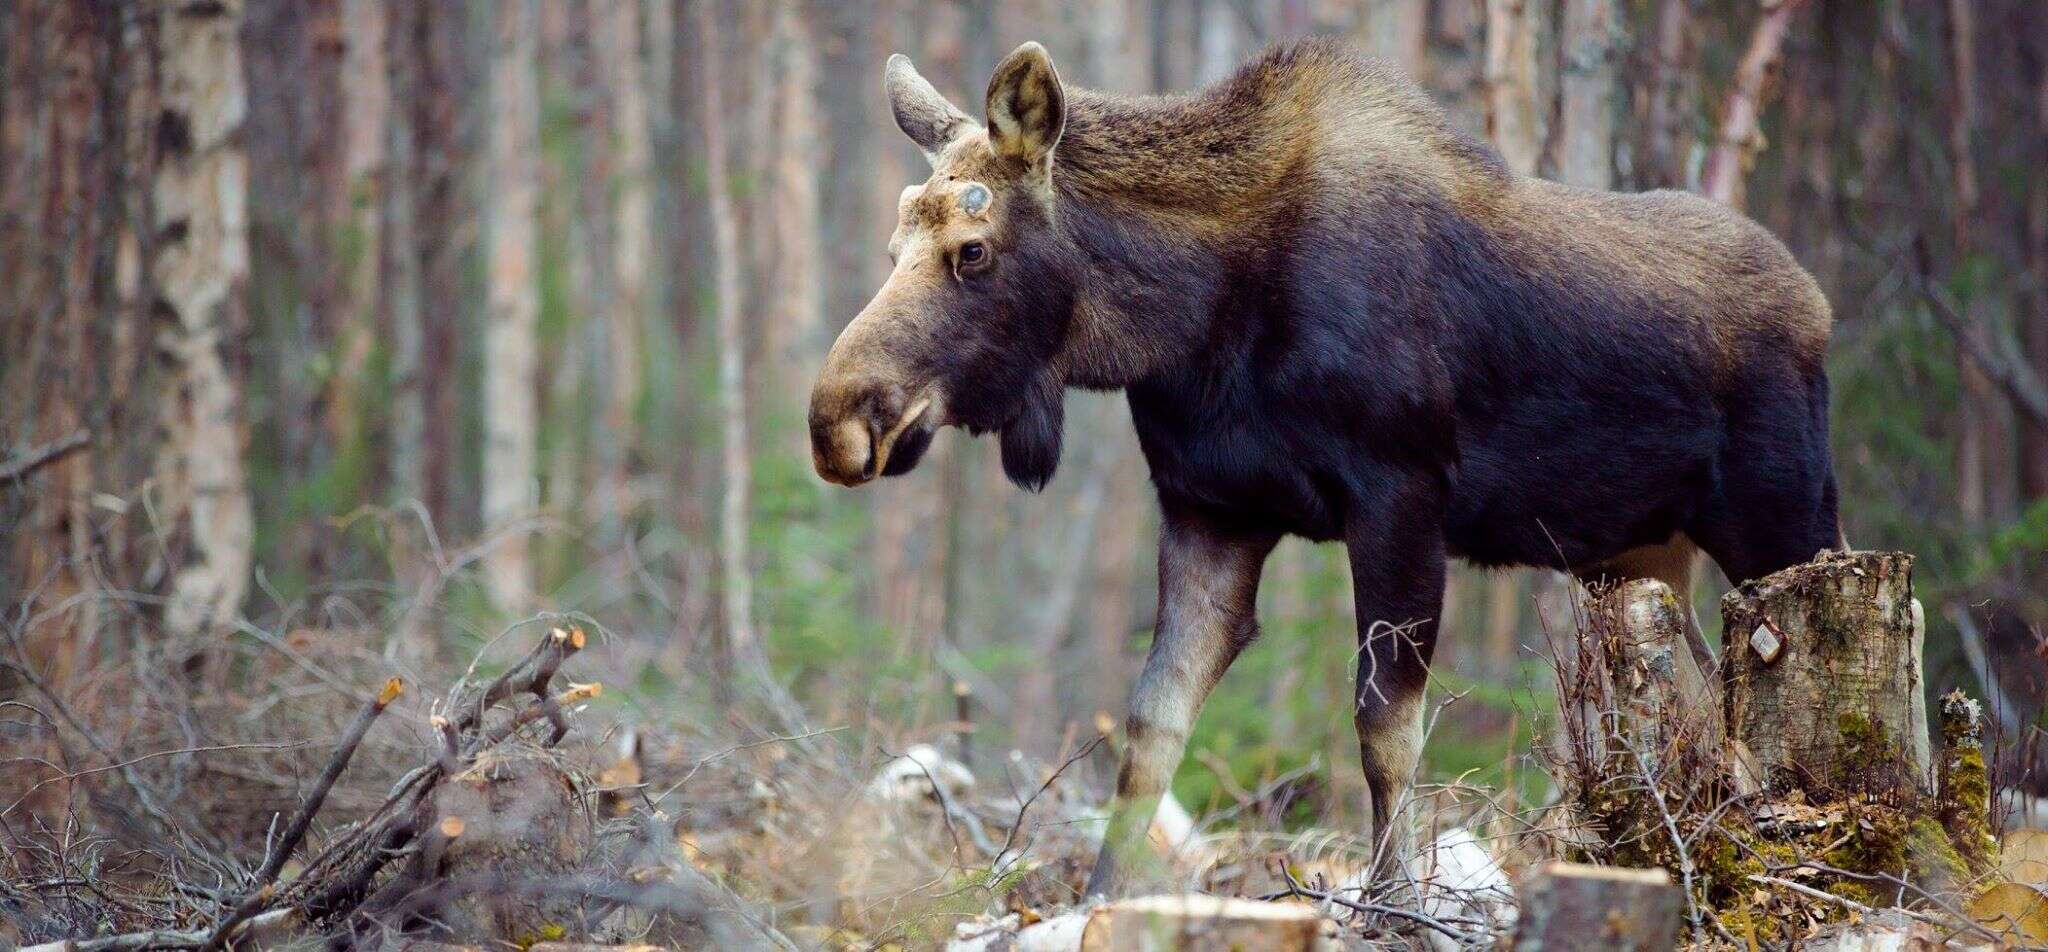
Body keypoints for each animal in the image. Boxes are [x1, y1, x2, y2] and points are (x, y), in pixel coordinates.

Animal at [811, 38, 1843, 896]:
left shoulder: (1399, 498)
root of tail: (1819, 308)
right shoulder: (1210, 507)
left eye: (971, 250)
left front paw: (1395, 906)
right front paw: (1099, 900)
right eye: (895, 244)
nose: (836, 422)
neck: (1185, 322)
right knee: (1701, 707)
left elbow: (1383, 729)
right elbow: (1151, 729)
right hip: (1639, 557)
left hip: (1784, 522)